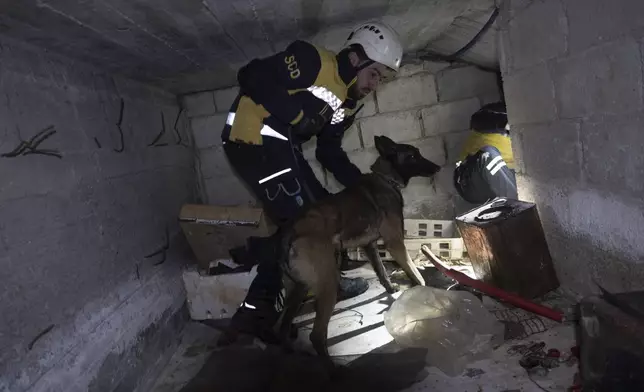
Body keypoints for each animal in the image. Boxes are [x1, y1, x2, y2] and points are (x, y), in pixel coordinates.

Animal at [274, 136, 440, 370]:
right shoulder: (395, 243)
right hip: (327, 284)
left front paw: (391, 288)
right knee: (316, 335)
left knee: (279, 328)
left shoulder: (370, 245)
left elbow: (381, 271)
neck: (386, 178)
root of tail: (288, 232)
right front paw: (424, 293)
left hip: (297, 289)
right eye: (413, 156)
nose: (438, 167)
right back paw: (334, 370)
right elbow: (416, 274)